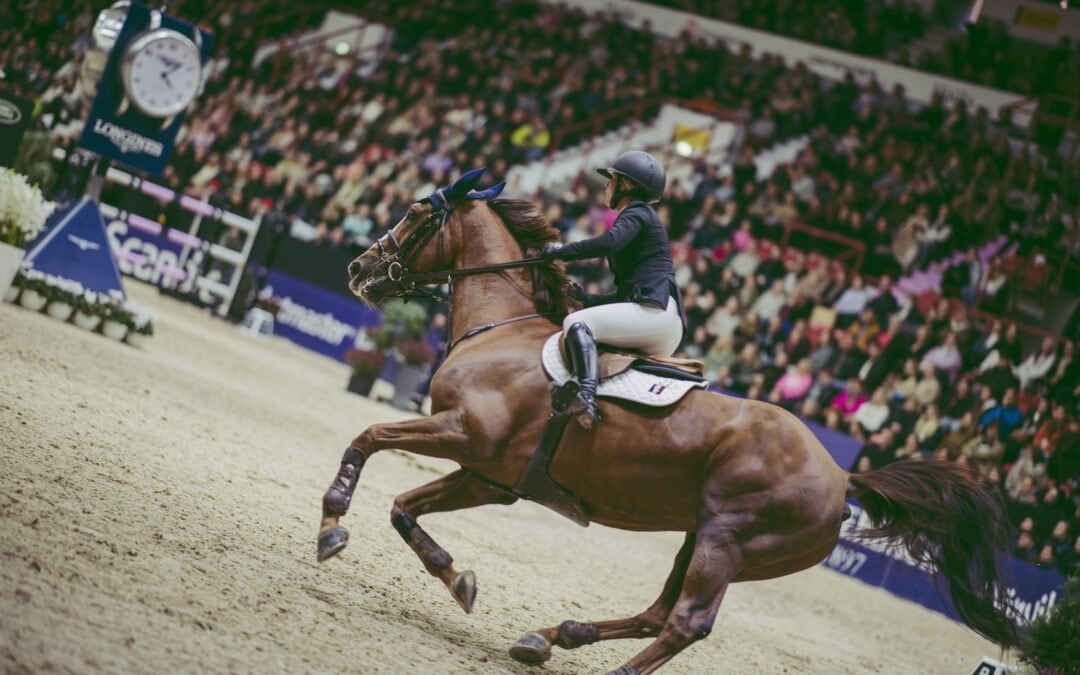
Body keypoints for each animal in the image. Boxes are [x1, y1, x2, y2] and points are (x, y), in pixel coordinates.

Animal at [317, 169, 1023, 674]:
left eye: (415, 215)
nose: (356, 268)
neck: (502, 326)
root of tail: (843, 477)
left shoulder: (465, 433)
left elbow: (367, 439)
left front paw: (332, 524)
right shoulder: (489, 475)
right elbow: (405, 509)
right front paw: (456, 576)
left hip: (727, 540)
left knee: (687, 622)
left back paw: (597, 664)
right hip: (706, 537)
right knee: (660, 613)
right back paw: (548, 637)